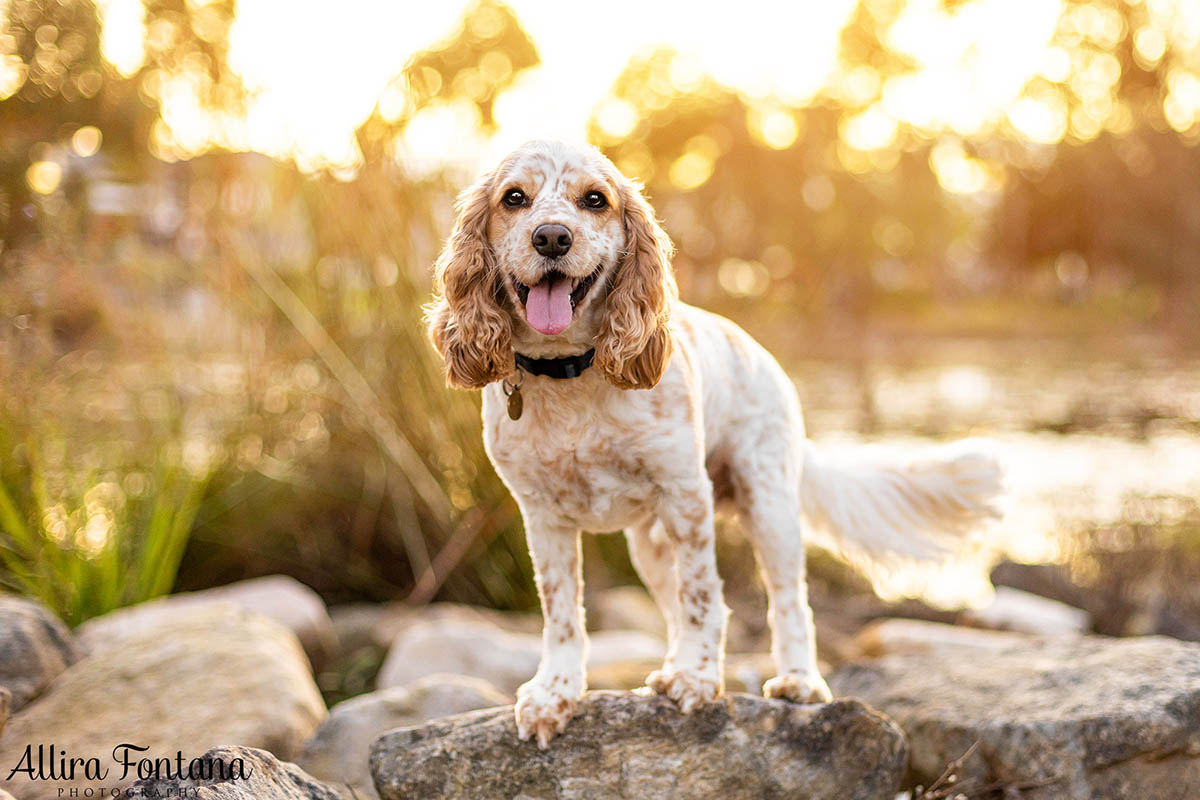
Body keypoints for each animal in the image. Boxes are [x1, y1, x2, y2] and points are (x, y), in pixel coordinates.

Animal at [424, 140, 1003, 748]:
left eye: (595, 200)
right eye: (514, 198)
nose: (553, 237)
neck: (570, 375)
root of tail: (765, 358)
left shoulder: (687, 497)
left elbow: (704, 599)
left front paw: (700, 679)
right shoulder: (542, 517)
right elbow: (562, 613)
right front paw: (556, 692)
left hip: (769, 509)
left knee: (787, 604)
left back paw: (798, 680)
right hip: (649, 545)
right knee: (674, 608)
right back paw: (670, 669)